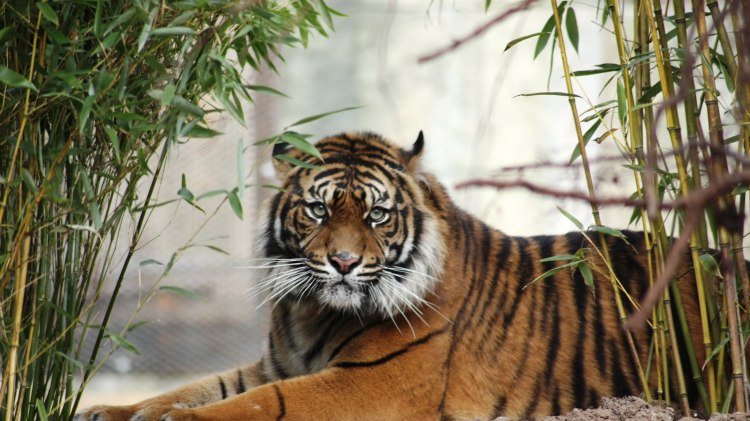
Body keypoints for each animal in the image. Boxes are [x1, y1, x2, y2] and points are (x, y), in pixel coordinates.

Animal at [79, 132, 712, 420]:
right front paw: (111, 411)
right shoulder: (272, 364)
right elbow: (197, 387)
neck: (313, 310)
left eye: (377, 215)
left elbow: (258, 405)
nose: (343, 262)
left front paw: (170, 417)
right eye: (318, 210)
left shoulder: (371, 382)